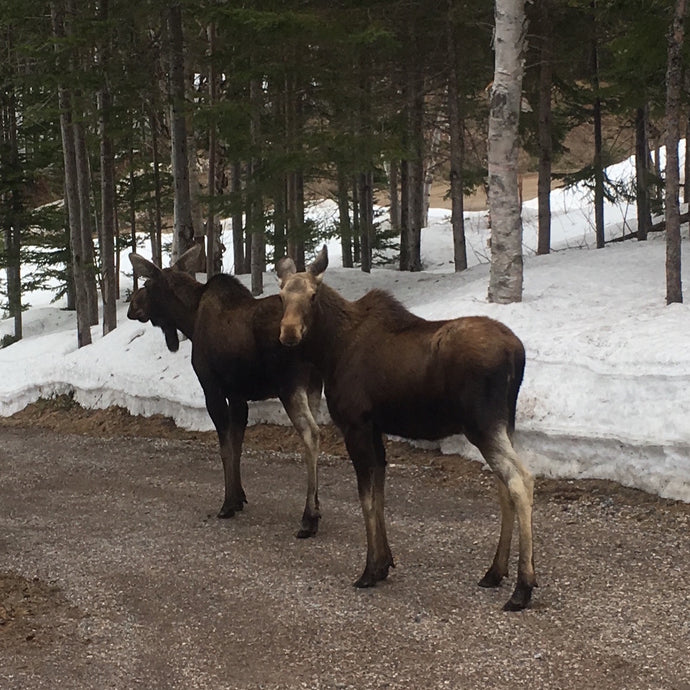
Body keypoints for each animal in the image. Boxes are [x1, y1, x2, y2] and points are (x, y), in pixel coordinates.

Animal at [128, 243, 322, 536]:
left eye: (148, 285)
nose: (132, 307)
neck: (189, 318)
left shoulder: (212, 387)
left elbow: (225, 446)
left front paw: (228, 503)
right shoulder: (238, 394)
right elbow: (238, 443)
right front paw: (239, 496)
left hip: (291, 385)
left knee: (311, 434)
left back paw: (309, 517)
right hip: (315, 385)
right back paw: (318, 507)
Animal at [276, 246, 536, 608]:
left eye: (313, 295)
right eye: (281, 295)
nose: (288, 332)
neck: (330, 351)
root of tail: (518, 353)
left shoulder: (355, 424)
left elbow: (366, 498)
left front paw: (369, 570)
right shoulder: (375, 428)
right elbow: (379, 493)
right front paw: (384, 563)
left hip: (483, 424)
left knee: (521, 480)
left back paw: (523, 588)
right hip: (504, 422)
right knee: (504, 486)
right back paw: (495, 572)